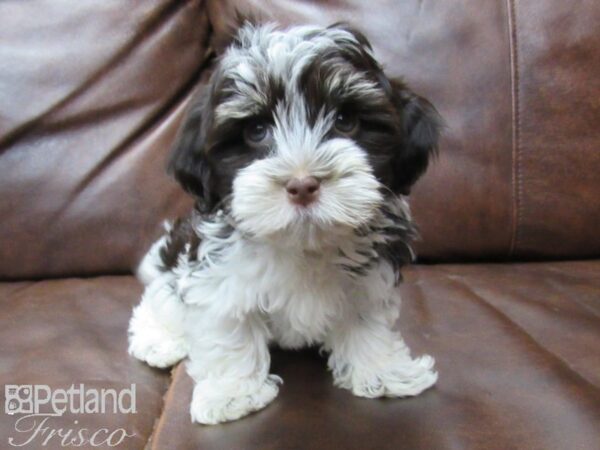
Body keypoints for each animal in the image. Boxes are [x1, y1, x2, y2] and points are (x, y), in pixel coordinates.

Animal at [129, 22, 442, 426]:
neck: (303, 243)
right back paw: (160, 340)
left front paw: (381, 371)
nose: (302, 184)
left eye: (345, 121)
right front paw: (234, 393)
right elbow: (229, 331)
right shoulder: (218, 279)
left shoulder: (370, 280)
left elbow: (365, 322)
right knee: (160, 298)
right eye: (256, 130)